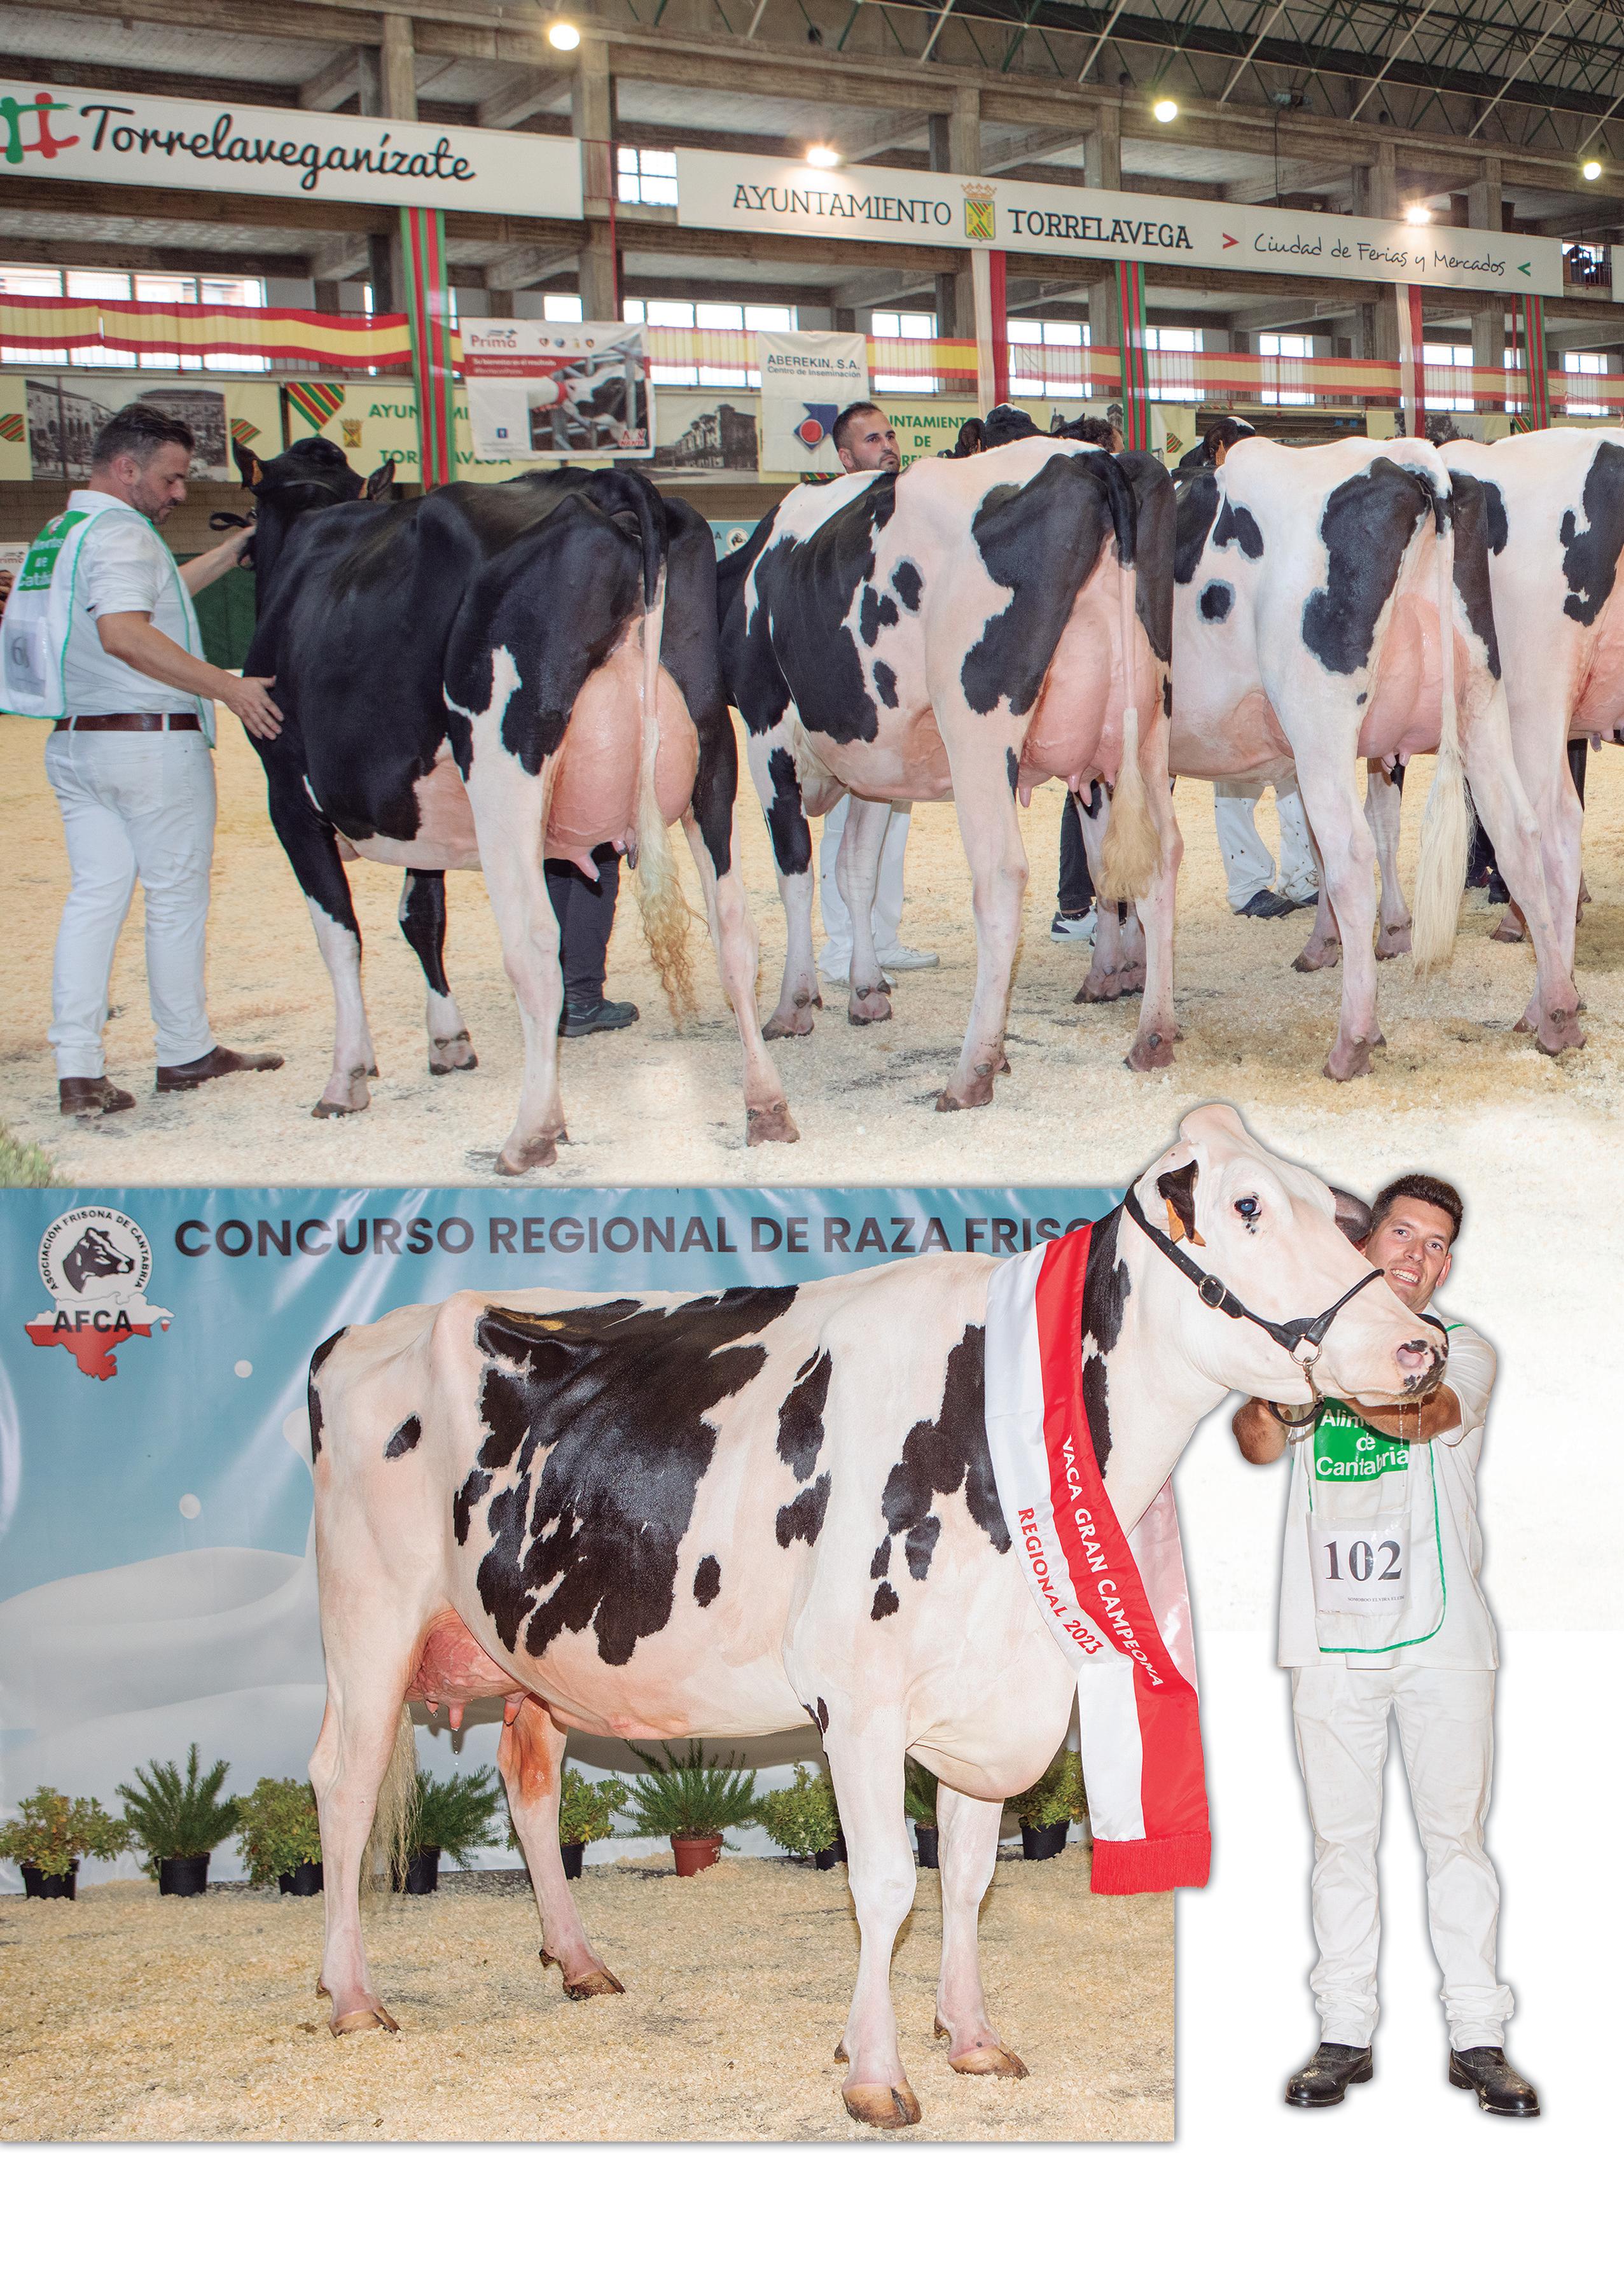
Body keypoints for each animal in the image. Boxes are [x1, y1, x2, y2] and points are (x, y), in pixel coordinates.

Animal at [234, 439, 795, 1174]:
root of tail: (611, 484)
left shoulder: (288, 798)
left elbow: (341, 937)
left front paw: (347, 1076)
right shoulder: (424, 824)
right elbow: (422, 916)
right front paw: (447, 1042)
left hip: (505, 766)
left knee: (533, 945)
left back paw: (531, 1132)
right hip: (714, 756)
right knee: (735, 932)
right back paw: (766, 1106)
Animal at [304, 1104, 1446, 2129]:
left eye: (1339, 1210)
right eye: (1246, 1204)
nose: (1417, 1345)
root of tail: (357, 1333)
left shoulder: (989, 1693)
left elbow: (969, 1877)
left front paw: (972, 2036)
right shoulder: (855, 1697)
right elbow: (887, 1880)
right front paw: (875, 2072)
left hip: (530, 1650)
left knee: (529, 1782)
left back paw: (579, 1961)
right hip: (367, 1617)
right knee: (344, 1781)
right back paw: (352, 1995)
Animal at [717, 438, 1181, 1101]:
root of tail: (1092, 457)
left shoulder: (765, 731)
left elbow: (797, 874)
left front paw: (794, 1004)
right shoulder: (875, 765)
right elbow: (855, 869)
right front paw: (865, 989)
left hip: (977, 728)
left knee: (1002, 875)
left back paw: (972, 1070)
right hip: (1146, 727)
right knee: (1161, 858)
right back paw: (1153, 1035)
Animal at [1167, 435, 1583, 1077]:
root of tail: (1408, 462)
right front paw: (1336, 940)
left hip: (1328, 718)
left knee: (1353, 852)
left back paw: (1352, 1041)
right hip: (1480, 701)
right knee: (1520, 834)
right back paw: (1555, 1014)